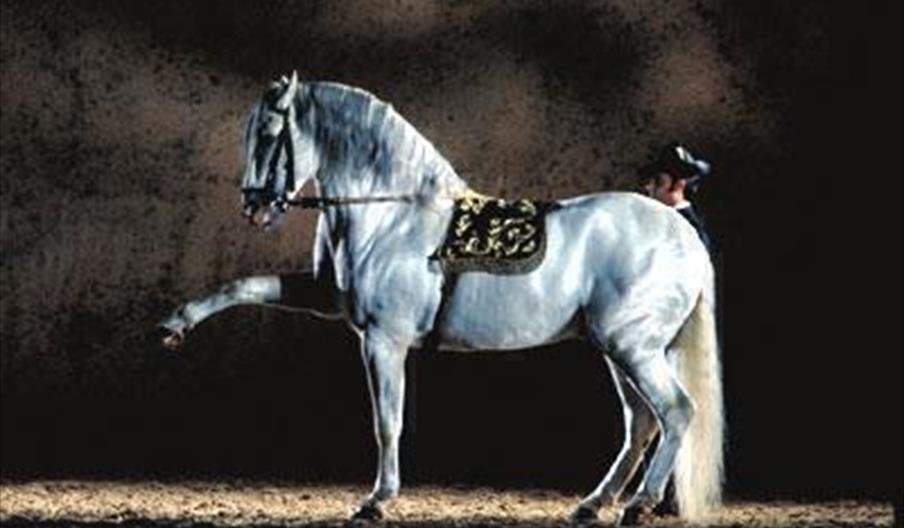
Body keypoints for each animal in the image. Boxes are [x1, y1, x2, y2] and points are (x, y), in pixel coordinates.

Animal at [158, 73, 724, 525]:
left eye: (270, 135)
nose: (254, 207)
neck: (392, 212)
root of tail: (682, 236)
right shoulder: (327, 297)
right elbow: (245, 286)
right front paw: (176, 324)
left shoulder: (383, 340)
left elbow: (387, 421)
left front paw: (376, 501)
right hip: (619, 350)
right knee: (642, 423)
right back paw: (591, 505)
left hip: (632, 347)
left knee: (675, 412)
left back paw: (638, 505)